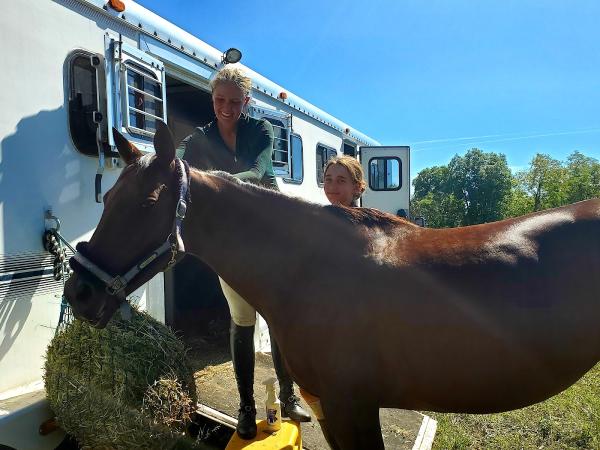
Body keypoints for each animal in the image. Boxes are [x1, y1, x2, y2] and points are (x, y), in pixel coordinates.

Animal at [63, 121, 600, 448]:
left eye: (149, 201)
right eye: (108, 196)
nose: (79, 294)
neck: (311, 269)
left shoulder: (351, 405)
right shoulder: (327, 404)